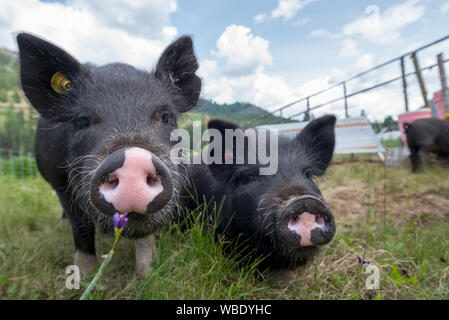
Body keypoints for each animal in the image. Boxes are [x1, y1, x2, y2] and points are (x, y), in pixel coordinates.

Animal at [15, 31, 200, 274]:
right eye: (81, 121)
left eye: (167, 117)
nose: (133, 158)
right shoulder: (60, 185)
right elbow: (81, 227)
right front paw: (84, 275)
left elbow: (146, 237)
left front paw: (146, 273)